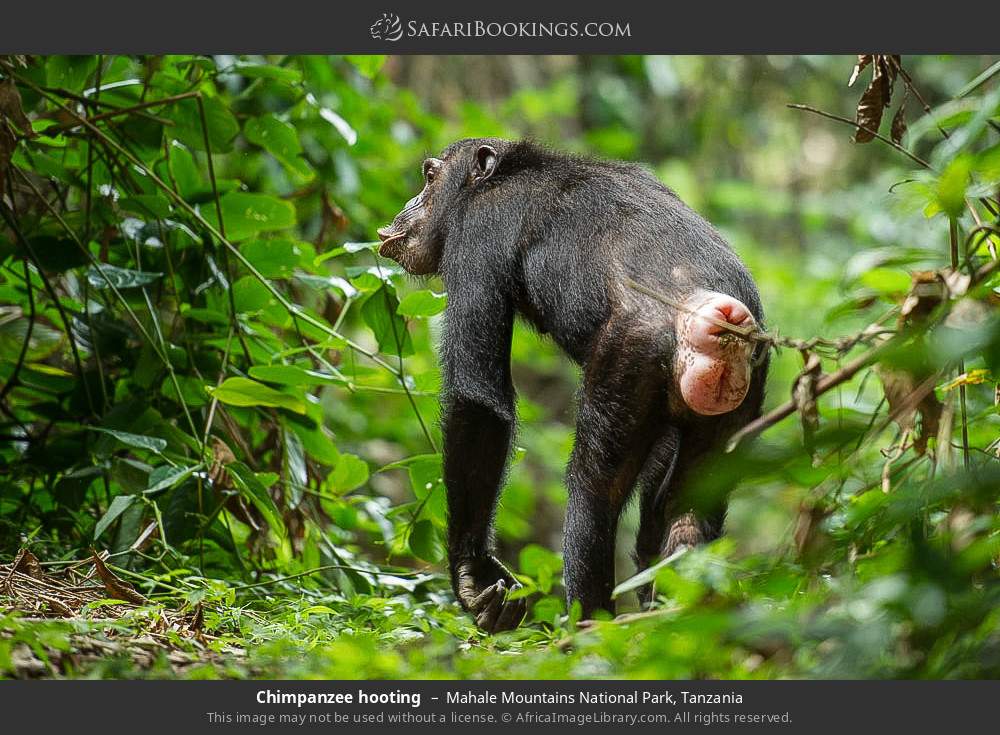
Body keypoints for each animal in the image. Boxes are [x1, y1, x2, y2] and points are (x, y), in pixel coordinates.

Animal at [377, 138, 769, 633]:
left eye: (429, 176)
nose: (411, 203)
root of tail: (721, 319)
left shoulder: (475, 239)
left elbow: (478, 399)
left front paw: (473, 572)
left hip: (630, 357)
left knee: (594, 486)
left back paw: (590, 626)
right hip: (741, 397)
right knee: (690, 502)